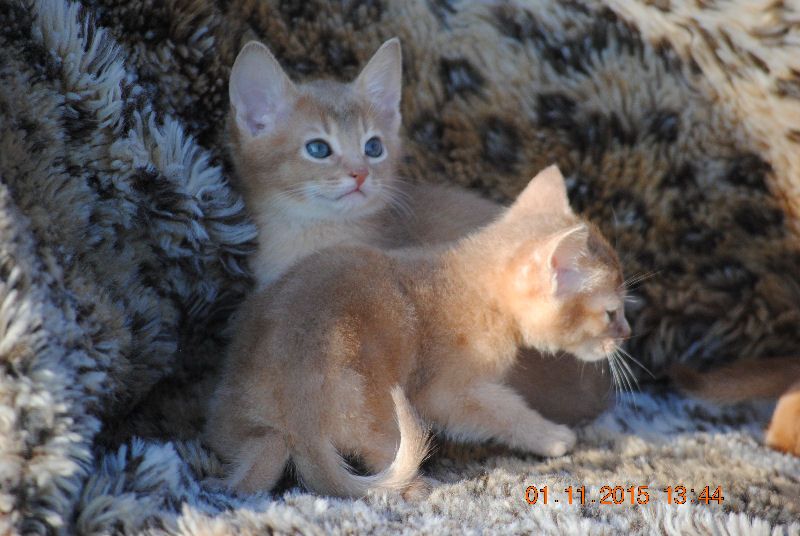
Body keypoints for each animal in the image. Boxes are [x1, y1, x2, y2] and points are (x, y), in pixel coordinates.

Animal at [206, 165, 632, 496]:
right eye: (611, 313)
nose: (626, 333)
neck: (470, 279)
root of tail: (299, 406)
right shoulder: (448, 393)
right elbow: (505, 411)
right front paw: (553, 437)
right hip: (374, 405)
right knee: (383, 457)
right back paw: (417, 486)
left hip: (253, 428)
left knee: (255, 472)